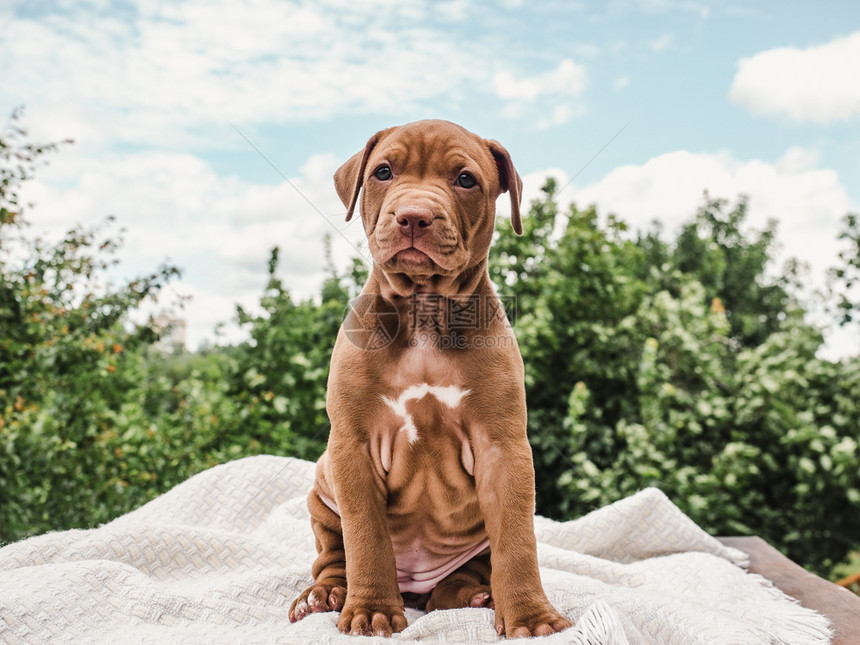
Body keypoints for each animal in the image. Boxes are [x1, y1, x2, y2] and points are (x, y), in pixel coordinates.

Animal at [288, 118, 572, 636]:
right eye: (383, 172)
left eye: (465, 180)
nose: (414, 216)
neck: (423, 308)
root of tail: (416, 588)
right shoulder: (352, 448)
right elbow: (366, 537)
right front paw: (371, 611)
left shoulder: (504, 450)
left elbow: (517, 542)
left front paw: (531, 616)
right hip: (322, 487)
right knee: (334, 553)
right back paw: (325, 595)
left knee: (459, 583)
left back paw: (475, 594)